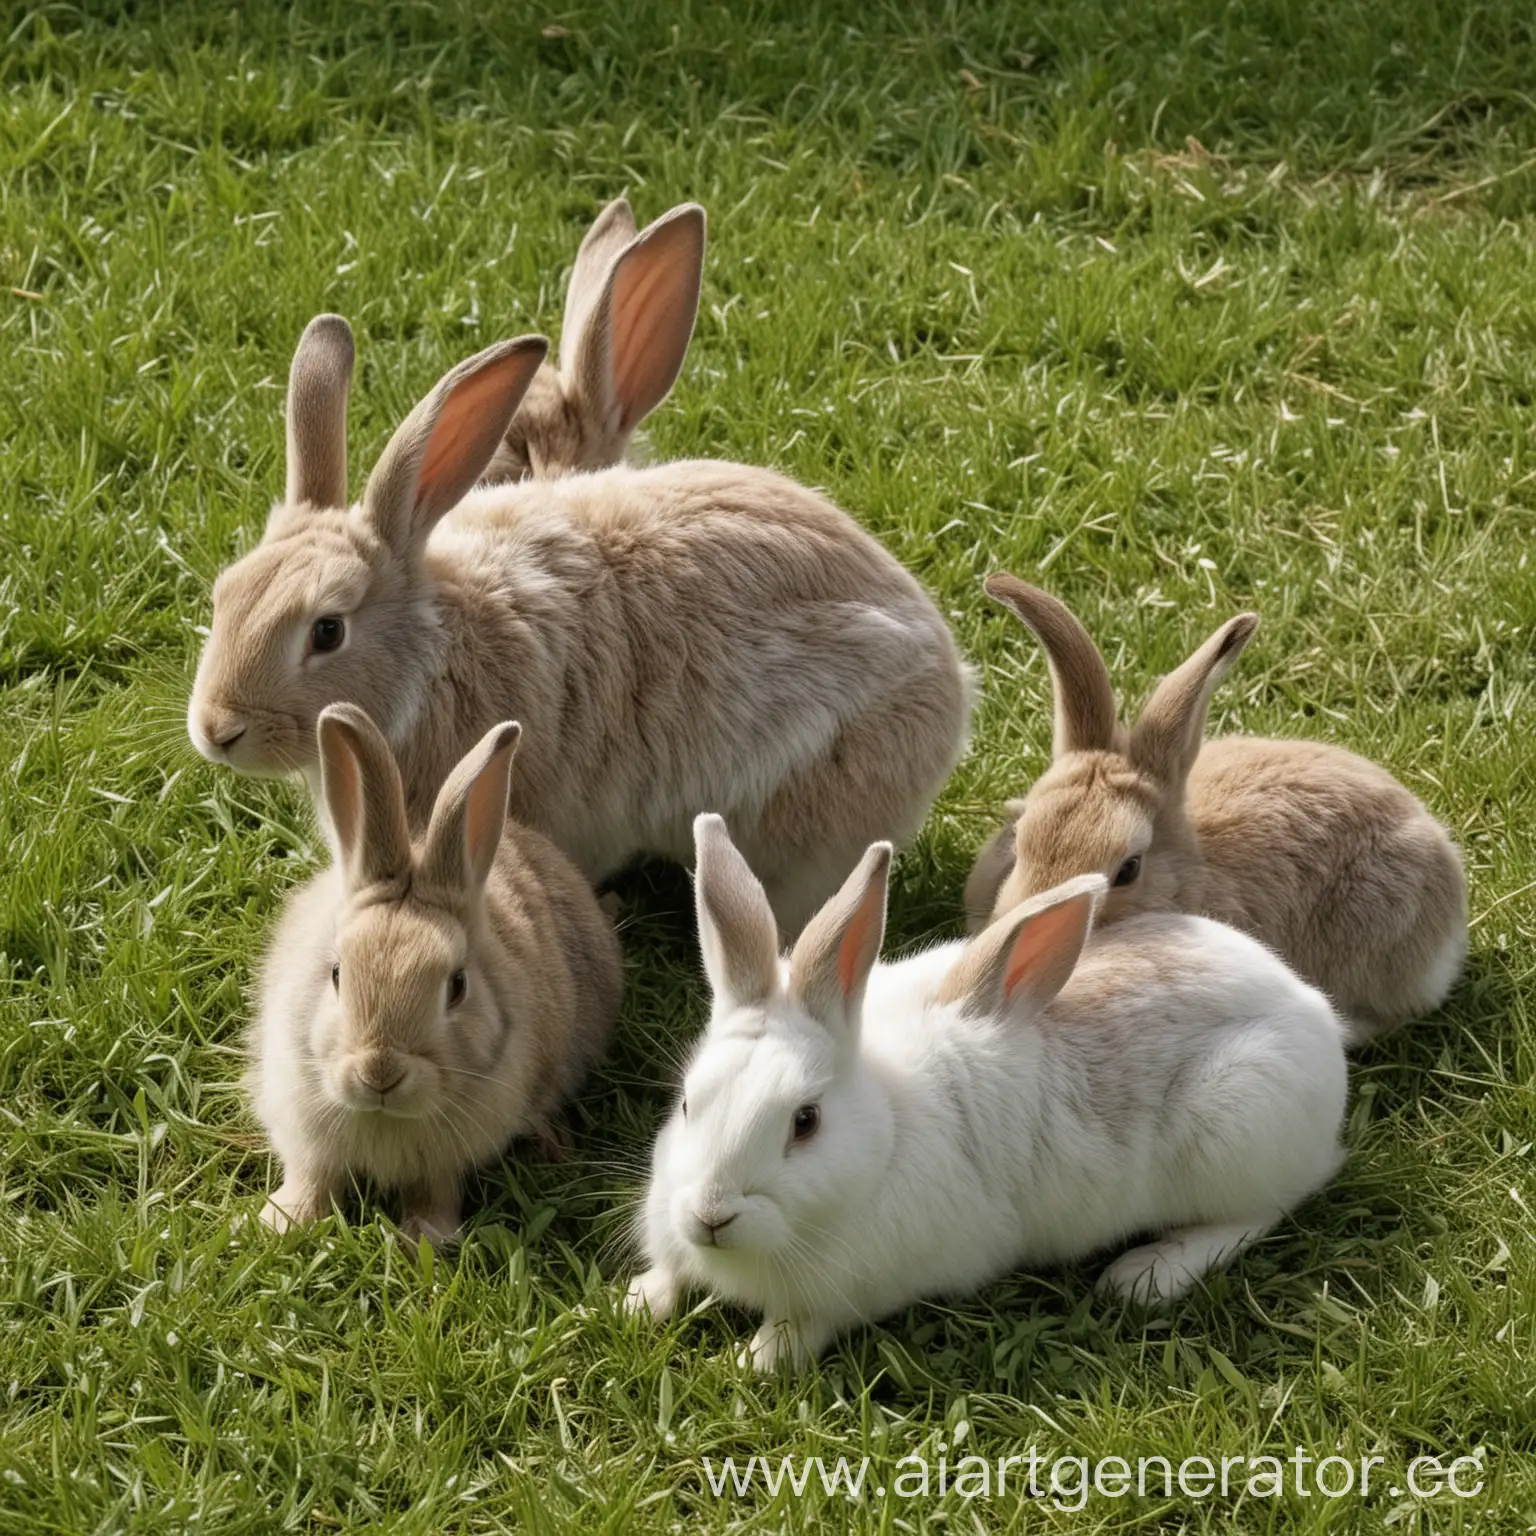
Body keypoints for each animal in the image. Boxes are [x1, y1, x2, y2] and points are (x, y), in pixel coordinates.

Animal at [248, 706, 620, 1247]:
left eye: (457, 986)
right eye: (336, 973)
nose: (379, 1073)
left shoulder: (444, 1162)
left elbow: (434, 1193)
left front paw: (423, 1239)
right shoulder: (305, 1132)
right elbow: (311, 1177)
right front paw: (280, 1223)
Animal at [623, 817, 1345, 1370]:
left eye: (806, 1121)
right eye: (686, 1102)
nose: (711, 1215)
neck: (885, 1127)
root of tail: (1315, 1016)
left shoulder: (858, 1290)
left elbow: (802, 1327)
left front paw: (755, 1360)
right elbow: (671, 1274)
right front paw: (636, 1302)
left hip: (1237, 1129)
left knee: (1261, 1212)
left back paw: (1145, 1275)